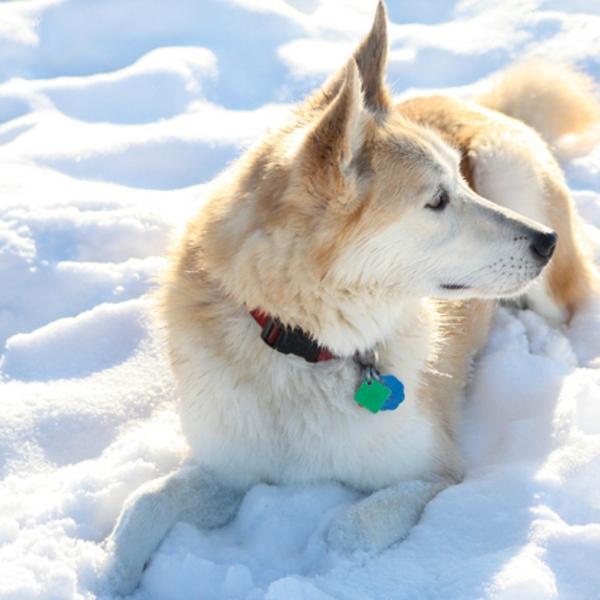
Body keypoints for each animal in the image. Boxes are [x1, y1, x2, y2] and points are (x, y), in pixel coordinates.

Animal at [105, 1, 596, 596]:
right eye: (437, 200)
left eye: (460, 181)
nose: (544, 241)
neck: (304, 346)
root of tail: (471, 99)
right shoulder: (229, 467)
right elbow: (143, 505)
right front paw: (109, 576)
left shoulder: (434, 473)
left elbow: (349, 530)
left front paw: (321, 569)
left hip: (515, 183)